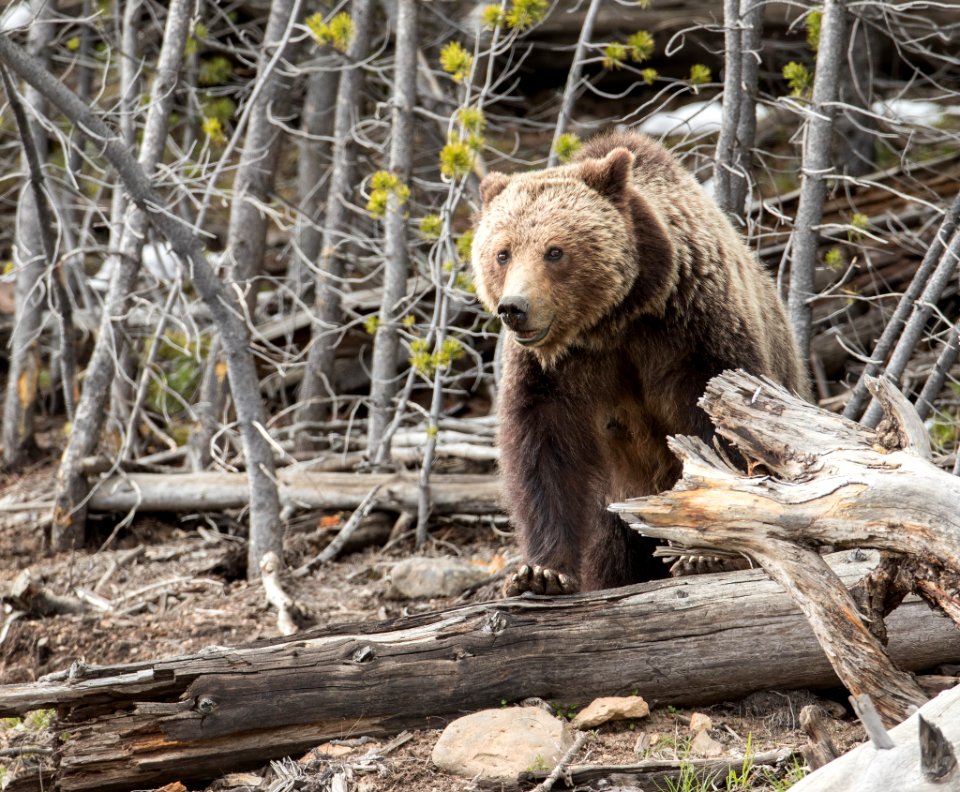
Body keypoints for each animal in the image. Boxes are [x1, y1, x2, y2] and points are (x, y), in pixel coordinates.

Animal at [472, 130, 808, 596]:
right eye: (502, 253)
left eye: (554, 251)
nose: (514, 308)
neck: (614, 320)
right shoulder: (553, 370)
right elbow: (544, 450)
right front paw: (541, 573)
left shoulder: (692, 330)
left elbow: (722, 428)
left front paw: (706, 554)